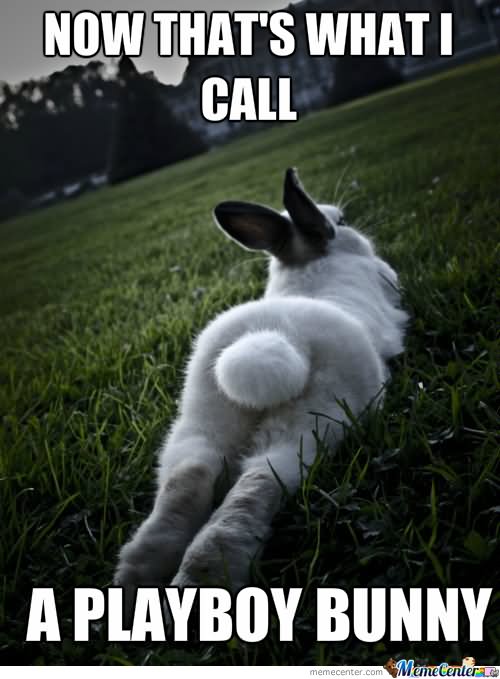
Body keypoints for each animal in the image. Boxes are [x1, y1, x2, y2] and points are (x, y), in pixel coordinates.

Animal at [114, 167, 408, 596]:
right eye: (340, 221)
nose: (349, 226)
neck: (309, 265)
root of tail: (276, 334)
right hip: (314, 422)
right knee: (256, 483)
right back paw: (207, 577)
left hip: (202, 417)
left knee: (190, 475)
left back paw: (140, 577)